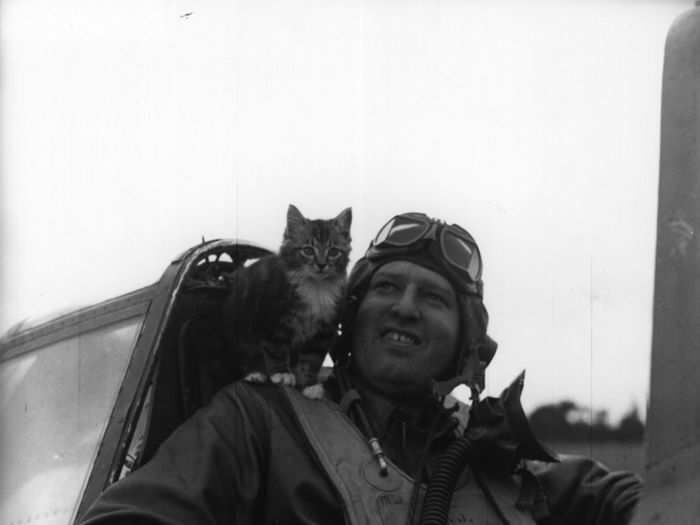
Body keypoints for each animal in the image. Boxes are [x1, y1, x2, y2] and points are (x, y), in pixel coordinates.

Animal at [223, 203, 352, 390]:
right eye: (308, 250)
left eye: (334, 252)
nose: (321, 265)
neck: (315, 287)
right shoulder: (272, 320)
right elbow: (276, 350)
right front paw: (282, 374)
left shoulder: (324, 331)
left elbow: (312, 360)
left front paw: (309, 385)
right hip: (239, 326)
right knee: (246, 356)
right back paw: (255, 373)